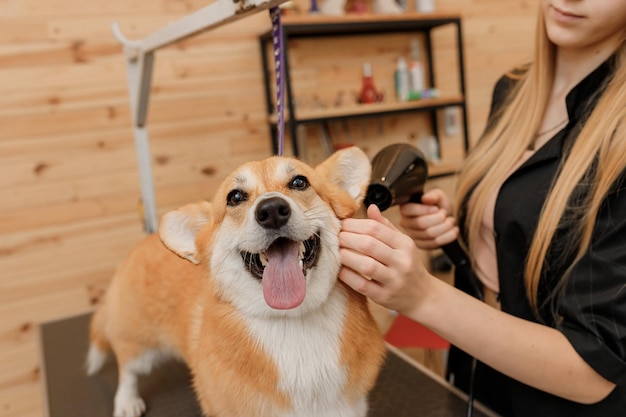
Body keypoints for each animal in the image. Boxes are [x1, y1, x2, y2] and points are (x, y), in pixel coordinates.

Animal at [83, 147, 386, 416]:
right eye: (235, 197)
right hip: (139, 344)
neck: (293, 320)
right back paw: (126, 402)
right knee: (127, 370)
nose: (272, 210)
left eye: (300, 182)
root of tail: (140, 245)